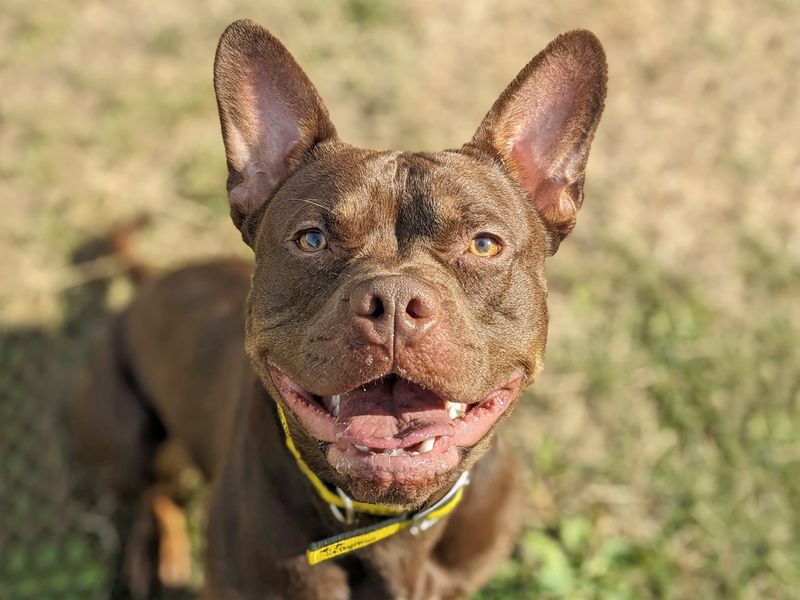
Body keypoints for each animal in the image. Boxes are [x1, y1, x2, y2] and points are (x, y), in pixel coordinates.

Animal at [72, 18, 608, 600]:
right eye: (312, 240)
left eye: (484, 245)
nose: (393, 301)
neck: (386, 524)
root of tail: (151, 283)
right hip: (129, 439)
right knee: (154, 492)